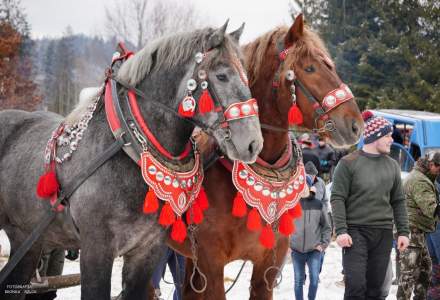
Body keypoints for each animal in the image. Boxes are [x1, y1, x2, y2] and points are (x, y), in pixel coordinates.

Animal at [0, 24, 262, 300]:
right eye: (221, 75)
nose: (253, 143)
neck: (128, 148)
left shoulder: (147, 249)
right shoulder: (96, 249)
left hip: (27, 240)